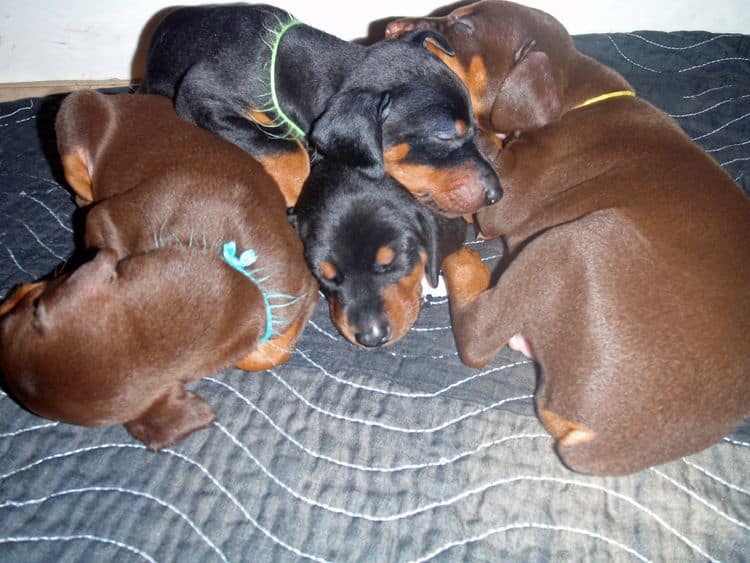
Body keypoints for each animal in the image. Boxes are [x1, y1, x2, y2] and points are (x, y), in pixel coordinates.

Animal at [0, 92, 318, 454]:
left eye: (35, 306)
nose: (6, 298)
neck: (230, 268)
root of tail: (122, 97)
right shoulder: (105, 217)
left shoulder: (301, 291)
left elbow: (269, 353)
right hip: (73, 115)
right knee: (81, 190)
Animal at [388, 1, 750, 476]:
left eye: (463, 27)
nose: (391, 26)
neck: (574, 102)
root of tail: (602, 441)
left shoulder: (501, 197)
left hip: (576, 238)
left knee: (477, 335)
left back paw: (459, 256)